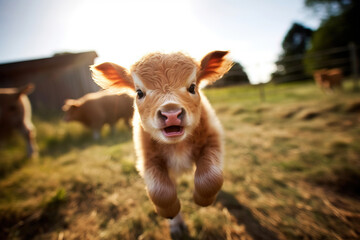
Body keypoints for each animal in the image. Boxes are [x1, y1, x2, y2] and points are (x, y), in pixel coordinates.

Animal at [91, 49, 232, 235]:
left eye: (192, 87)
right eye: (139, 92)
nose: (171, 114)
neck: (177, 145)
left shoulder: (212, 140)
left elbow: (210, 178)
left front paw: (202, 199)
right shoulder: (148, 159)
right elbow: (161, 193)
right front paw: (171, 214)